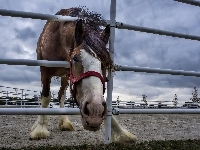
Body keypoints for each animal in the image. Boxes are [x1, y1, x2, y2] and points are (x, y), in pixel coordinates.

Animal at [30, 7, 138, 143]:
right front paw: (40, 129)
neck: (57, 37)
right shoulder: (45, 70)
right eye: (75, 58)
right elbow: (45, 97)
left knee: (61, 95)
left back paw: (64, 122)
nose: (94, 111)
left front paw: (121, 133)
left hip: (65, 77)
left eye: (105, 63)